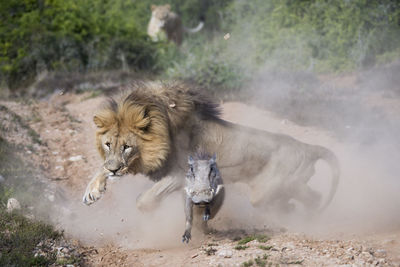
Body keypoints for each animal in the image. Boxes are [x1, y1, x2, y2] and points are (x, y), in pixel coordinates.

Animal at [83, 81, 340, 214]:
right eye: (108, 144)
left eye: (127, 147)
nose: (115, 169)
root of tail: (307, 147)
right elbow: (101, 168)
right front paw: (91, 192)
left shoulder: (179, 173)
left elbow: (145, 200)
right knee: (309, 196)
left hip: (272, 186)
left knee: (307, 197)